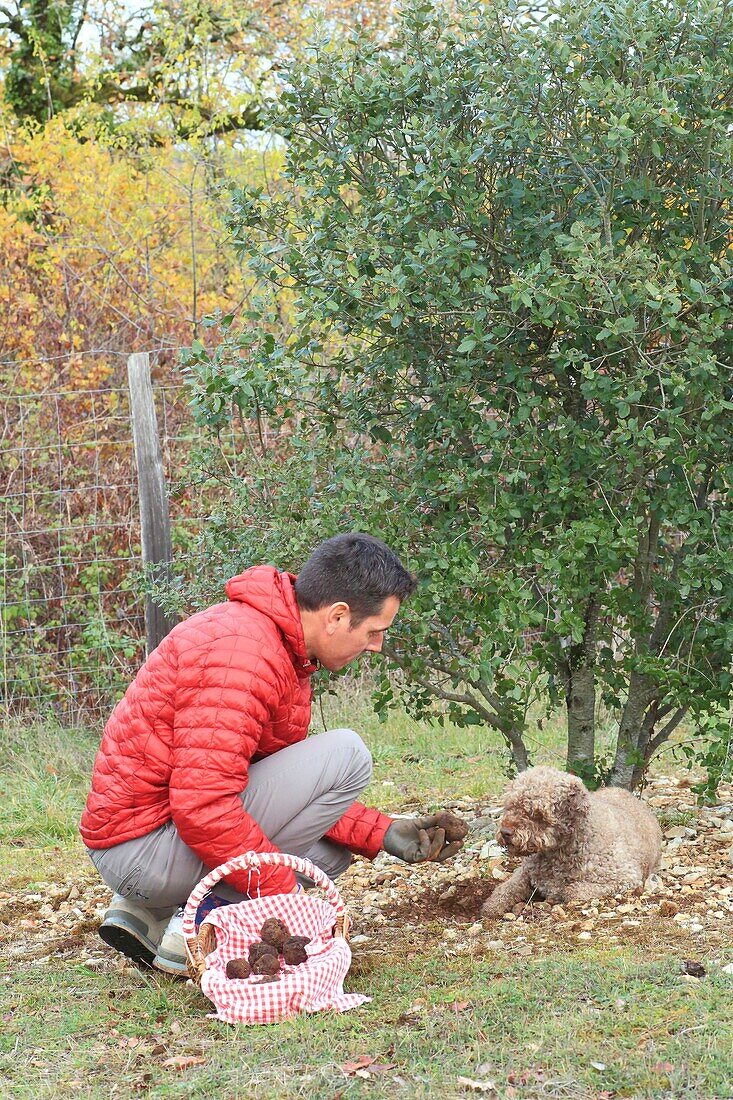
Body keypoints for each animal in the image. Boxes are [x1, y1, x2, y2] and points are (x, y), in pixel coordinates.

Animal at [479, 765, 660, 919]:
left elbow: (571, 891)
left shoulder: (624, 878)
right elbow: (505, 888)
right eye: (510, 805)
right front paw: (491, 906)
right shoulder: (525, 872)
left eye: (537, 813)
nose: (505, 832)